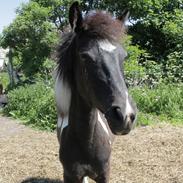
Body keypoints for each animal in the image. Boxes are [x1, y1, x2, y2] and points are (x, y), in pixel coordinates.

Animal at [55, 1, 137, 183]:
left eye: (123, 57)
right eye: (84, 56)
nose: (125, 115)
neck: (85, 142)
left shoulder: (104, 174)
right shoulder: (69, 175)